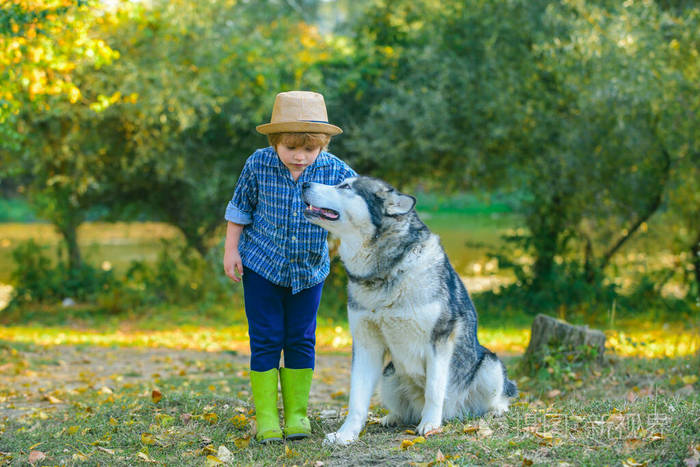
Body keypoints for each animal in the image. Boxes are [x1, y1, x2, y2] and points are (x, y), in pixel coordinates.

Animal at [298, 176, 516, 446]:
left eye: (346, 187)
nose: (304, 183)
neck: (387, 272)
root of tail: (453, 413)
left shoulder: (440, 340)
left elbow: (434, 389)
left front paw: (430, 424)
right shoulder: (366, 343)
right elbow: (357, 400)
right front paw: (345, 434)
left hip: (489, 365)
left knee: (494, 398)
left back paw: (492, 410)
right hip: (389, 374)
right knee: (404, 410)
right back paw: (393, 417)